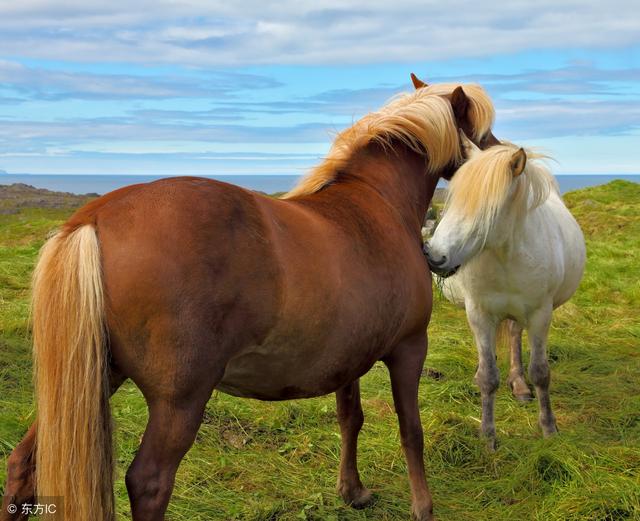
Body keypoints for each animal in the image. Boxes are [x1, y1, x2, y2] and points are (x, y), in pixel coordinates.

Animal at [2, 78, 498, 520]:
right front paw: (423, 507)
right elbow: (410, 430)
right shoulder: (410, 348)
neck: (377, 203)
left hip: (98, 374)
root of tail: (94, 217)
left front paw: (352, 491)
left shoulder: (349, 358)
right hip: (178, 401)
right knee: (148, 482)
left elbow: (350, 418)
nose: (499, 149)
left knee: (24, 465)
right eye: (478, 127)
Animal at [424, 134, 584, 446]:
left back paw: (519, 384)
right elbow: (489, 376)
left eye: (488, 210)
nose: (435, 257)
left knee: (513, 334)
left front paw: (549, 428)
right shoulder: (479, 314)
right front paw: (488, 436)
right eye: (450, 202)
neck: (506, 255)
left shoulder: (540, 315)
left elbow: (541, 372)